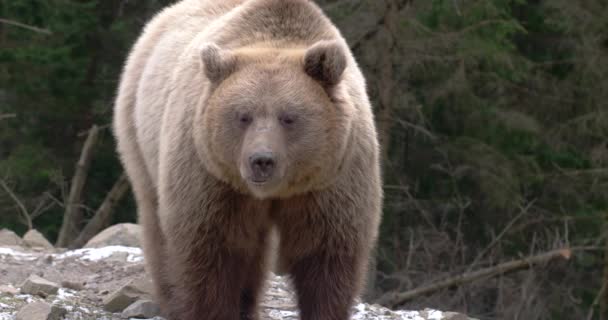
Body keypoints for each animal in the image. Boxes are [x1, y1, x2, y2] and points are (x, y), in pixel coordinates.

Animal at [111, 0, 382, 320]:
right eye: (243, 116)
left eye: (288, 117)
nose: (261, 160)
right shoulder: (210, 176)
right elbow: (212, 248)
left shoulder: (332, 177)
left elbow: (324, 254)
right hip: (139, 131)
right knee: (157, 221)